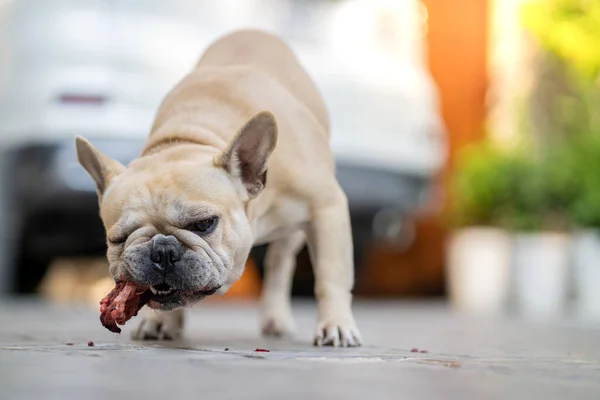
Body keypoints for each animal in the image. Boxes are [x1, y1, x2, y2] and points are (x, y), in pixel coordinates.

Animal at [77, 28, 364, 346]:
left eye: (205, 224)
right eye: (118, 239)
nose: (162, 250)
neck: (193, 137)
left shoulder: (326, 208)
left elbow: (330, 275)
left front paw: (336, 325)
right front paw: (160, 322)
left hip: (294, 232)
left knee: (280, 263)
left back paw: (276, 318)